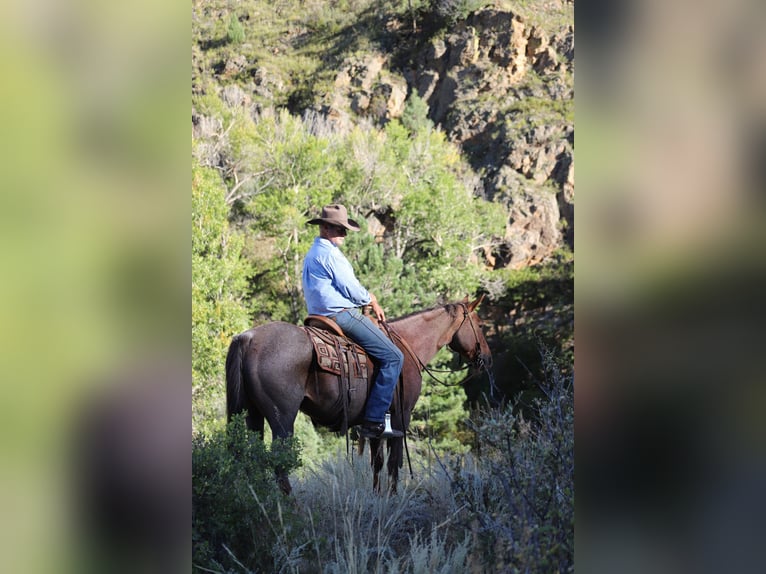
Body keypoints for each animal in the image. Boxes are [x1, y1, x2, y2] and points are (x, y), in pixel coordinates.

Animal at [225, 296, 496, 496]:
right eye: (480, 323)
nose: (487, 357)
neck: (408, 345)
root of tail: (247, 338)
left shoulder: (375, 424)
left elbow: (377, 463)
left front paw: (377, 497)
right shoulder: (401, 417)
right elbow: (394, 463)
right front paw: (393, 498)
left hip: (251, 415)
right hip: (282, 419)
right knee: (279, 466)